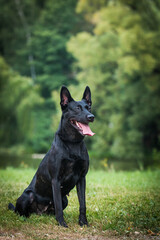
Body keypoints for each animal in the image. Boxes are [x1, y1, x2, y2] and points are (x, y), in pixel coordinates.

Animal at [8, 86, 95, 227]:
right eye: (77, 108)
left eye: (89, 107)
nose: (91, 116)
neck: (72, 143)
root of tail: (39, 212)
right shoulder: (56, 179)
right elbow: (58, 205)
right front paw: (61, 223)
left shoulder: (82, 178)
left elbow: (82, 204)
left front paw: (83, 222)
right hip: (28, 195)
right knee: (20, 211)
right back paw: (26, 217)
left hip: (65, 199)